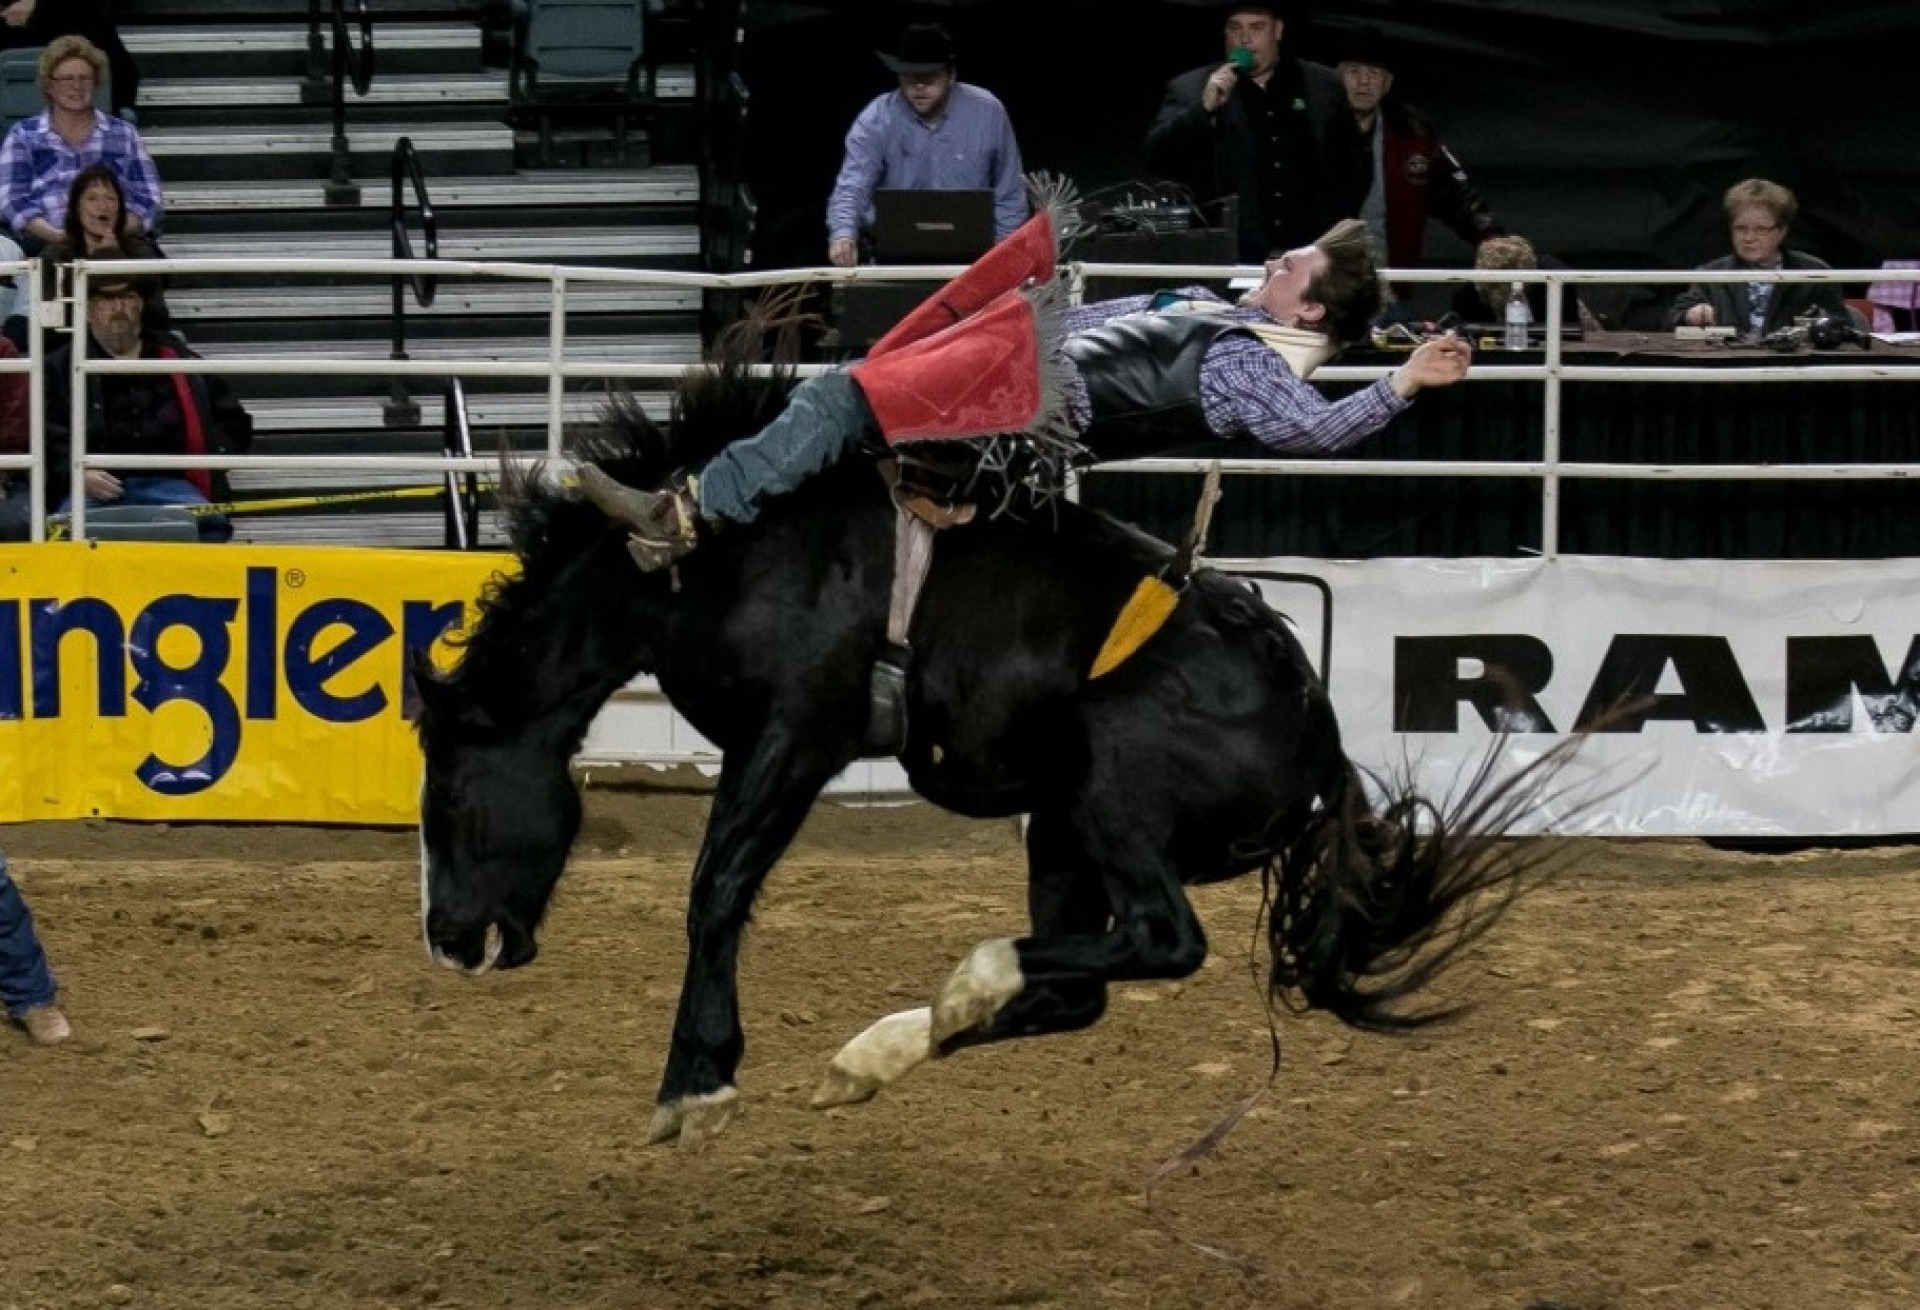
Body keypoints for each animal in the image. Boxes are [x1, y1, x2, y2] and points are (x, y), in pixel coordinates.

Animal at [413, 329, 1569, 1149]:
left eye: (451, 794)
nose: (449, 942)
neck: (718, 556)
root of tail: (1323, 741)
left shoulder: (796, 732)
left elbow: (717, 889)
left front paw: (697, 1081)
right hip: (1060, 826)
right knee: (1078, 988)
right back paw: (877, 1053)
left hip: (1111, 790)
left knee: (1161, 939)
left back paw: (963, 982)